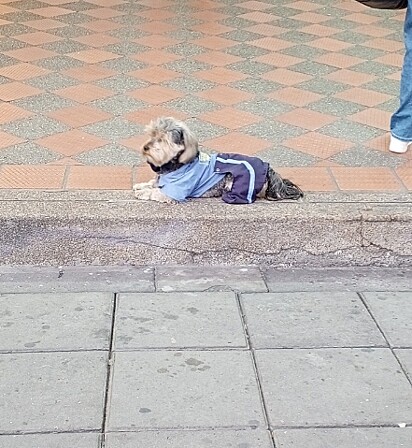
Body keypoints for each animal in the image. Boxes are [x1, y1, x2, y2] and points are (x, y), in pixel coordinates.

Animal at [134, 117, 304, 205]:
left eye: (162, 139)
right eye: (152, 134)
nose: (145, 147)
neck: (176, 165)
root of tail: (270, 171)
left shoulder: (174, 193)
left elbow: (156, 192)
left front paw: (143, 192)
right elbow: (153, 183)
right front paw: (141, 185)